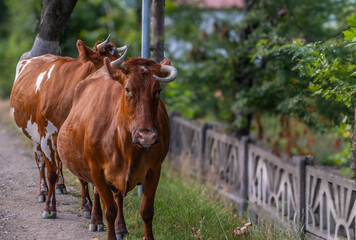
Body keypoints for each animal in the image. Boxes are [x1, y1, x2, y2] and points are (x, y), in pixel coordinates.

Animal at [10, 34, 126, 220]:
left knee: (59, 160)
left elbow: (81, 176)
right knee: (40, 162)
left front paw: (87, 207)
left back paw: (61, 186)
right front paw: (50, 208)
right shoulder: (45, 136)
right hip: (33, 134)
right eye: (111, 63)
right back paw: (43, 192)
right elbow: (51, 173)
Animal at [58, 56, 178, 240]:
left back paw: (121, 228)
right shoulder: (97, 170)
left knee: (118, 197)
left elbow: (146, 211)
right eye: (128, 89)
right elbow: (110, 210)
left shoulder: (154, 170)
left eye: (158, 91)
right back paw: (96, 220)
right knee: (97, 192)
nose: (147, 136)